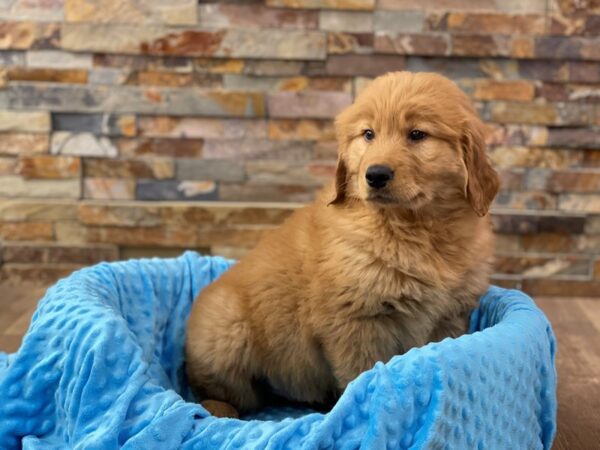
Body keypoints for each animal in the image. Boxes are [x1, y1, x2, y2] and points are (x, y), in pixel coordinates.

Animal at [185, 71, 500, 418]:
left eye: (417, 134)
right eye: (368, 134)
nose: (375, 175)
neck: (414, 229)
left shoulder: (449, 317)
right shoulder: (356, 323)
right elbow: (361, 376)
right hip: (227, 332)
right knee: (218, 392)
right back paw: (218, 410)